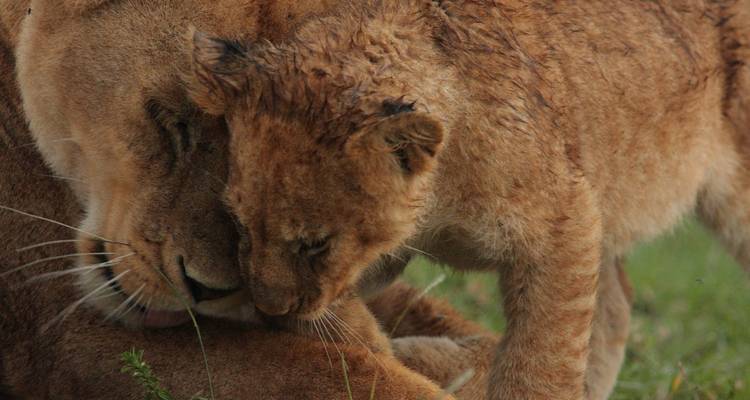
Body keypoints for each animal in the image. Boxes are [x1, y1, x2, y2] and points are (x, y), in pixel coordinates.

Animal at [188, 1, 750, 399]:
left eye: (316, 244)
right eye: (237, 223)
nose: (268, 306)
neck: (438, 197)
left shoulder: (563, 224)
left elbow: (542, 360)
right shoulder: (388, 255)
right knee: (614, 304)